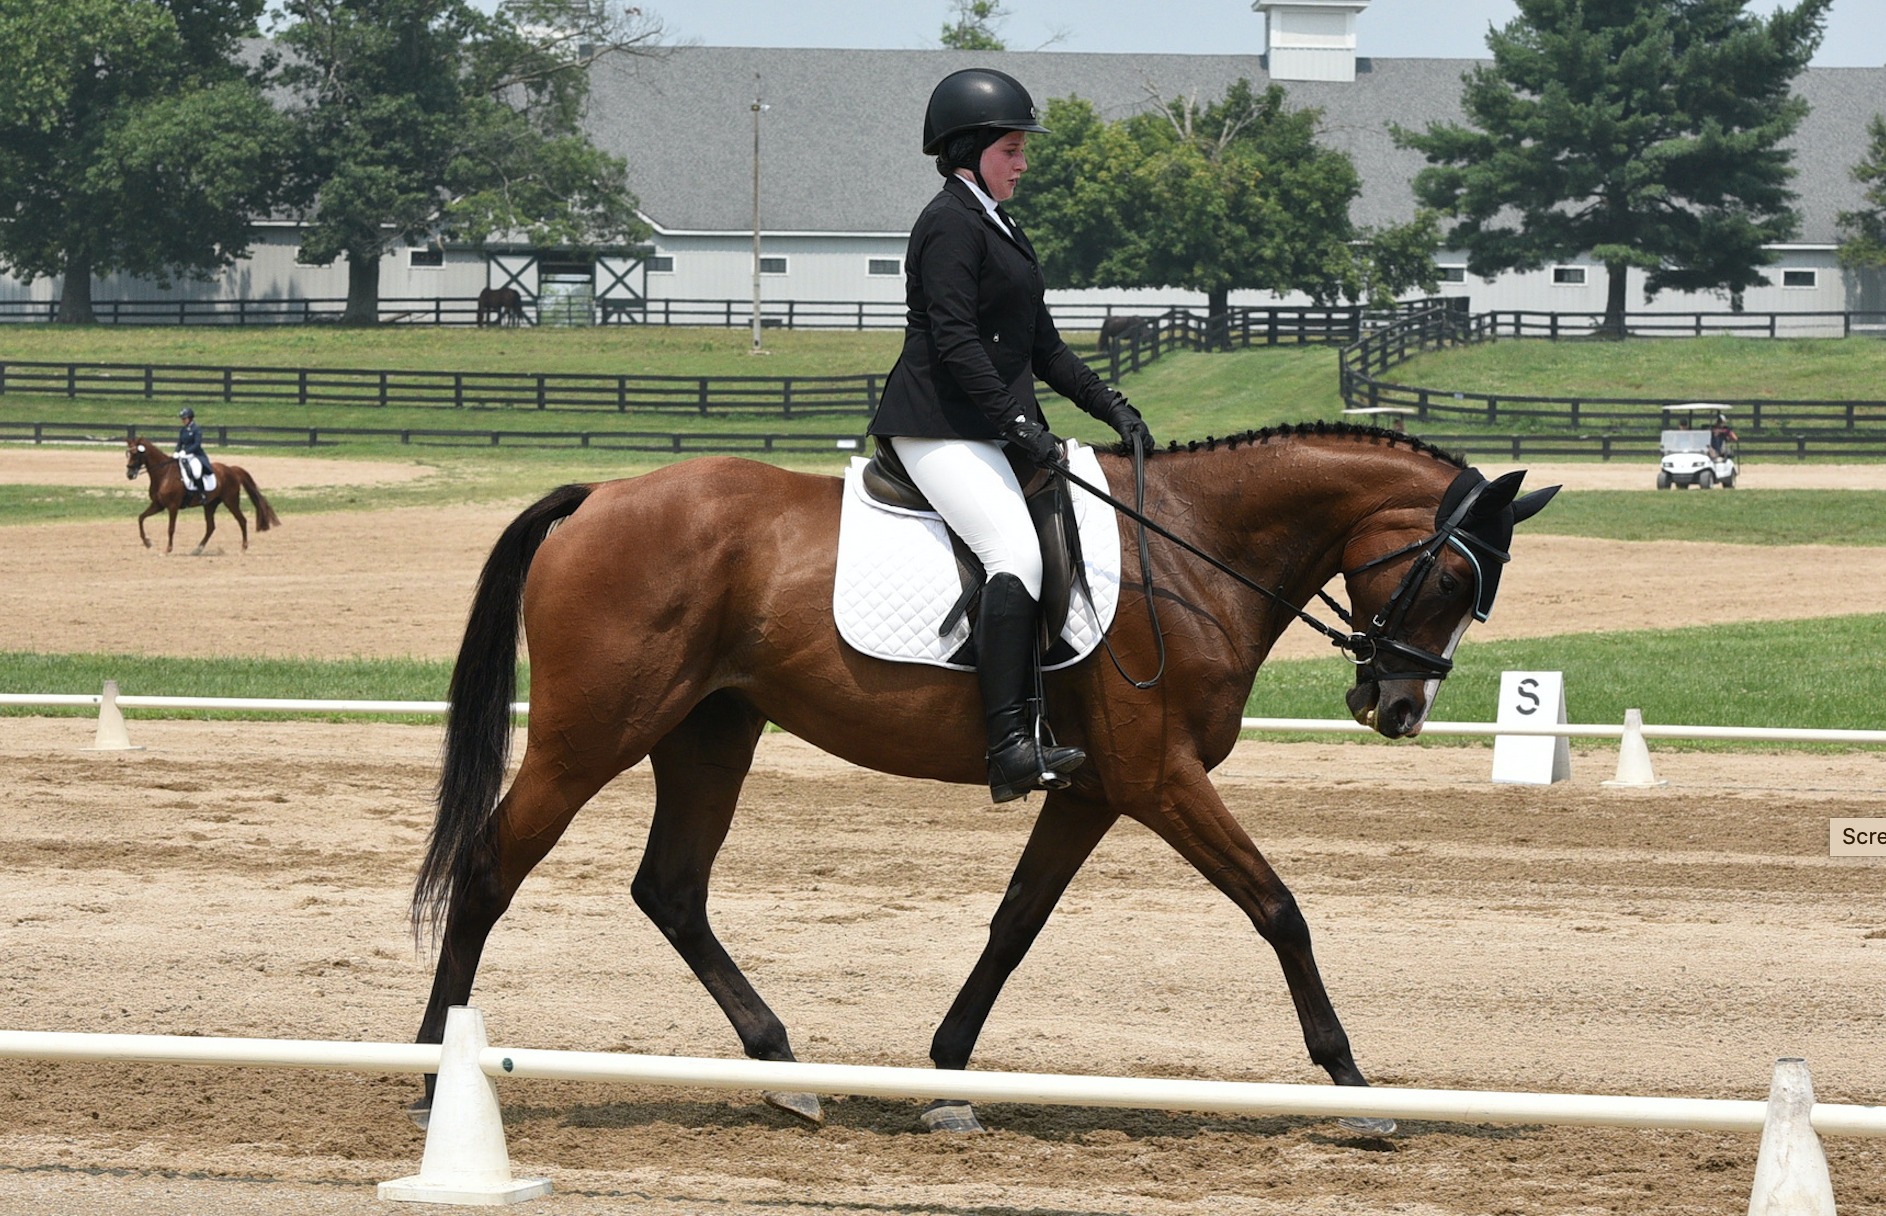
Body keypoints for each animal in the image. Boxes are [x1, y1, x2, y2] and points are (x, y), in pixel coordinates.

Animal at [124, 436, 280, 555]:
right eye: (128, 454)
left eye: (136, 454)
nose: (130, 474)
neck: (164, 473)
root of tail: (231, 469)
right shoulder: (158, 505)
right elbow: (141, 518)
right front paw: (147, 543)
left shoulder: (172, 507)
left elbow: (171, 528)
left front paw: (168, 549)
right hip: (210, 504)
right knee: (211, 527)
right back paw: (197, 549)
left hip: (230, 501)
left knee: (242, 520)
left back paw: (243, 548)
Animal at [408, 423, 1558, 1132]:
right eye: (1448, 582)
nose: (1396, 711)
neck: (1192, 551)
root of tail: (595, 496)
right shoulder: (1160, 778)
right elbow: (1279, 909)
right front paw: (1355, 1088)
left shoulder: (1094, 790)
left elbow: (1014, 924)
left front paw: (949, 1080)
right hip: (590, 735)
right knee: (491, 869)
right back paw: (429, 1076)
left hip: (709, 731)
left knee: (672, 889)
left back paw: (784, 1070)